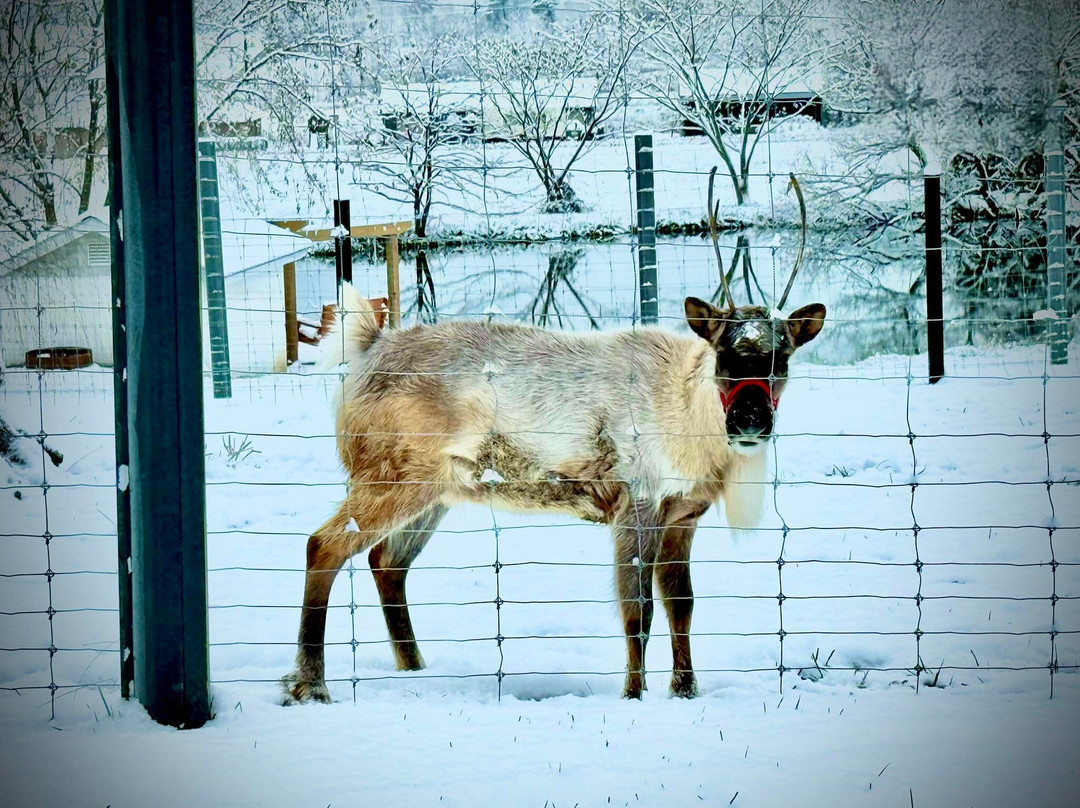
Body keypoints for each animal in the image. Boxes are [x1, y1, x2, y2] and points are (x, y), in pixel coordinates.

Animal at [283, 169, 825, 704]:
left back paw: (413, 668)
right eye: (723, 354)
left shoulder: (684, 514)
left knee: (386, 562)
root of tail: (368, 348)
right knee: (323, 546)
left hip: (437, 489)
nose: (751, 418)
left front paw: (686, 690)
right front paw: (634, 695)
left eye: (782, 356)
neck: (693, 429)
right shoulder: (637, 503)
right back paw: (311, 684)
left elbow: (683, 605)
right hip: (389, 476)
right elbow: (639, 612)